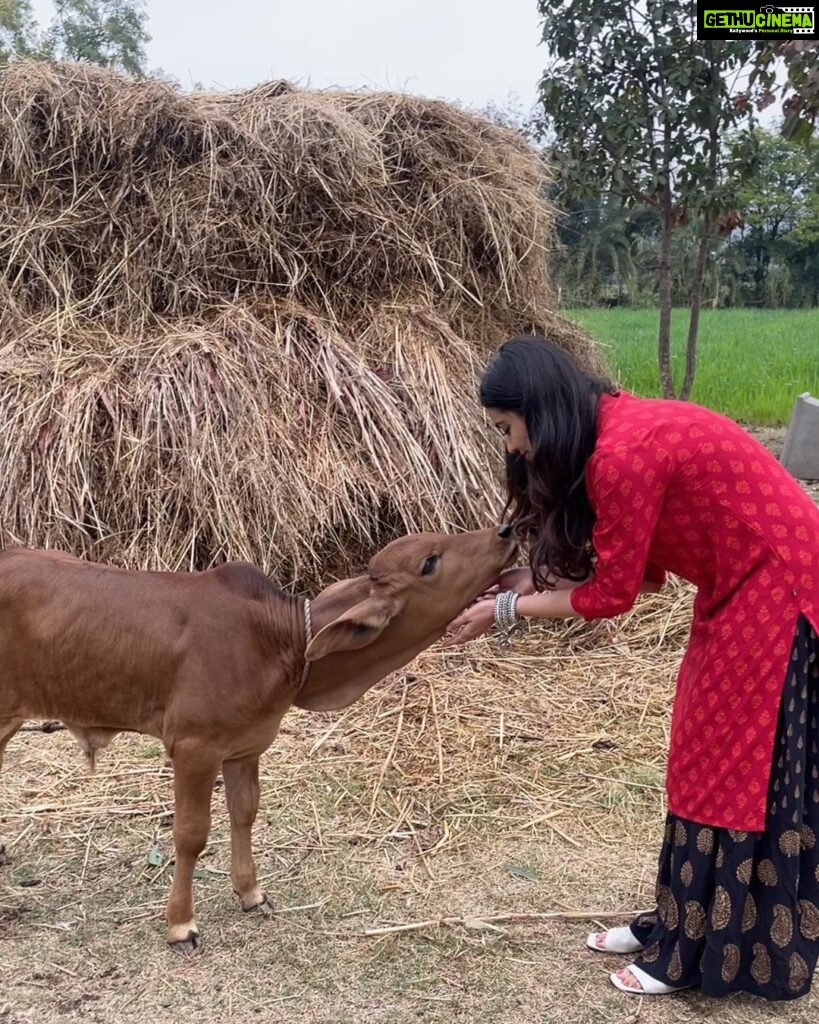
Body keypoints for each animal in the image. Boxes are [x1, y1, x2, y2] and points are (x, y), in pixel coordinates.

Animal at [0, 528, 515, 950]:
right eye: (429, 562)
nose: (506, 530)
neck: (278, 640)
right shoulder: (194, 748)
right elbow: (191, 834)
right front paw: (181, 924)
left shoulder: (245, 747)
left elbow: (244, 814)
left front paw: (250, 893)